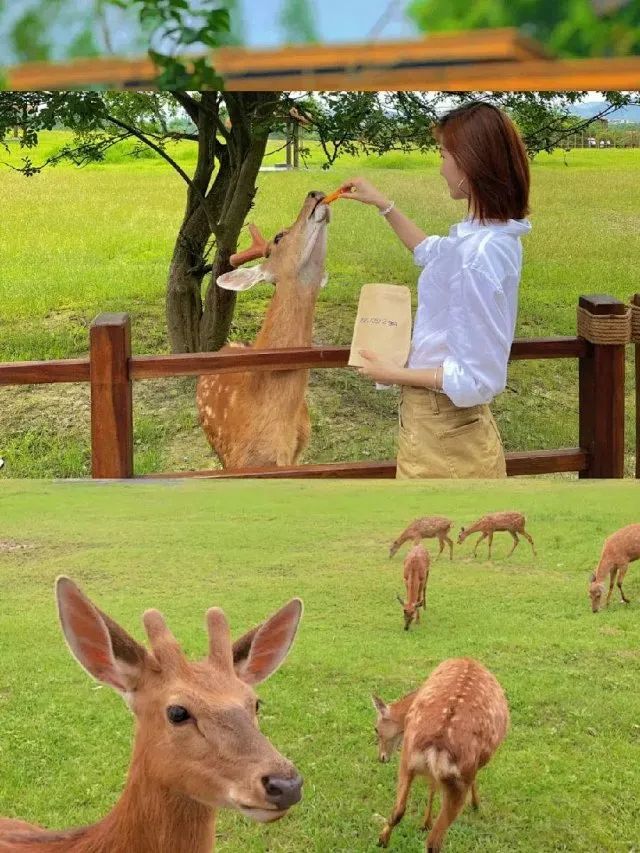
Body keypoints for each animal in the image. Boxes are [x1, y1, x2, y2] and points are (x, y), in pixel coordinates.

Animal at [372, 660, 508, 852]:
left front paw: (426, 822)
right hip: (460, 780)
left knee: (398, 811)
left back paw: (382, 840)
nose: (382, 757)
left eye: (376, 729)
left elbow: (431, 786)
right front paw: (476, 804)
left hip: (407, 760)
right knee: (434, 841)